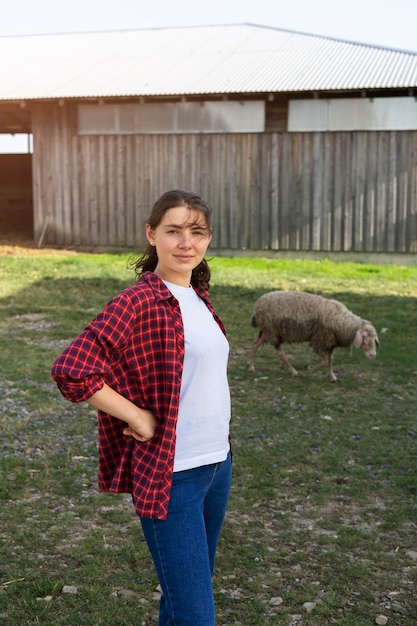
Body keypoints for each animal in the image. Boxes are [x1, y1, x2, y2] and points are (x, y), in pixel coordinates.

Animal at [249, 292, 378, 380]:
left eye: (374, 340)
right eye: (365, 339)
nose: (373, 356)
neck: (341, 321)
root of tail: (256, 306)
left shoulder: (330, 342)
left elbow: (330, 359)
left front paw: (332, 376)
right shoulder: (319, 340)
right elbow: (324, 361)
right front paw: (310, 369)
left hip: (267, 331)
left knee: (255, 344)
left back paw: (251, 367)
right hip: (273, 331)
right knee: (280, 353)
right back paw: (293, 371)